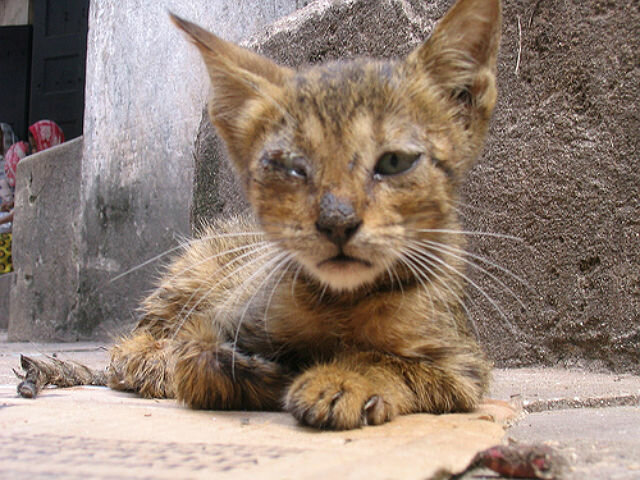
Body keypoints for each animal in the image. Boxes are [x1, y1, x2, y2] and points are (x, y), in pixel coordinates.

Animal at [17, 0, 502, 432]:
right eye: (291, 166)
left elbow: (388, 360)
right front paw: (250, 371)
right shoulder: (230, 317)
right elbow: (196, 355)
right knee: (126, 350)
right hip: (192, 268)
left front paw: (343, 378)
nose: (337, 221)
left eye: (395, 162)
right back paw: (150, 359)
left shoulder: (463, 364)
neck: (340, 300)